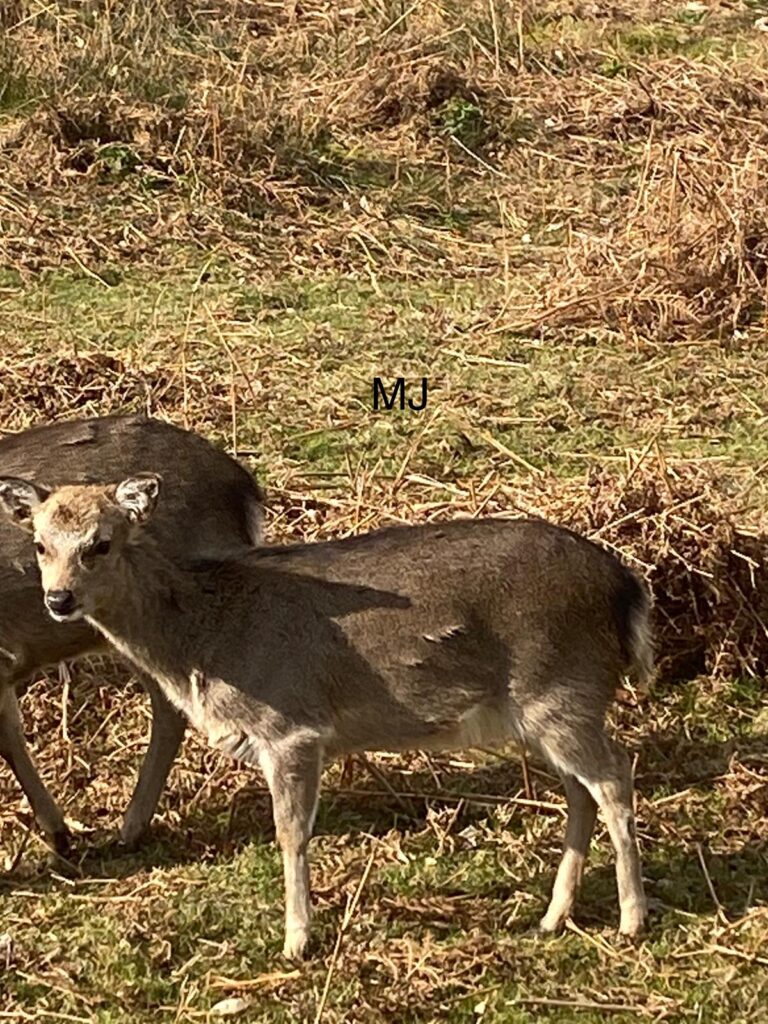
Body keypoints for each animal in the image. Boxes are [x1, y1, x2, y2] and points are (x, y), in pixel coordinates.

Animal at [0, 472, 652, 958]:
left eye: (101, 543)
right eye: (39, 544)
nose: (59, 599)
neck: (206, 637)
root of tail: (627, 589)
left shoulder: (291, 726)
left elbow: (290, 832)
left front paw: (295, 942)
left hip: (562, 686)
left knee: (615, 776)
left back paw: (631, 920)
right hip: (548, 709)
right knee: (581, 789)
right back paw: (553, 916)